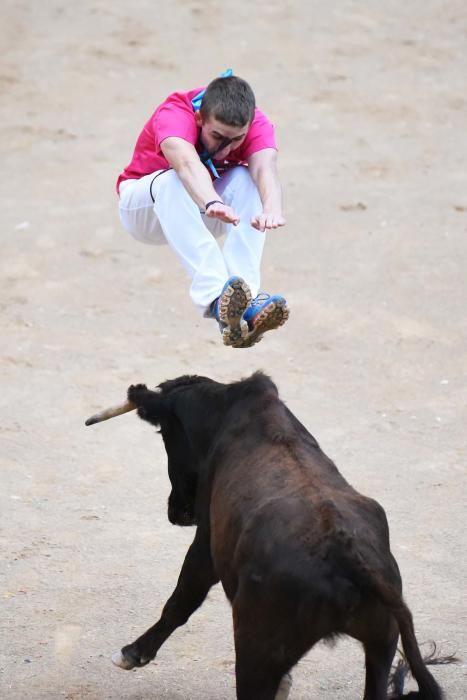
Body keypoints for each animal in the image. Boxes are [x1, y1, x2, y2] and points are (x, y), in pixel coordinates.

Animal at [90, 374, 446, 696]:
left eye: (165, 434)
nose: (177, 512)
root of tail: (348, 557)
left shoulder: (205, 545)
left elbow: (181, 601)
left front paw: (132, 653)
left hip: (256, 651)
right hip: (381, 646)